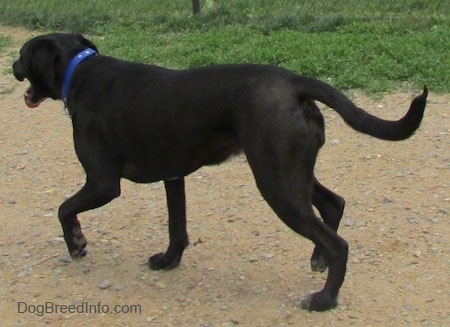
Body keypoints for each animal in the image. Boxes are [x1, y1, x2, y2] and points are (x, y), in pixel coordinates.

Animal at [11, 34, 428, 312]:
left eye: (22, 54)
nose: (12, 67)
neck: (80, 70)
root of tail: (295, 83)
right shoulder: (173, 176)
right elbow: (176, 228)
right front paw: (168, 261)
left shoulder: (102, 183)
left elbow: (64, 208)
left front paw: (76, 244)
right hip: (292, 172)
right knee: (334, 204)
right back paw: (318, 260)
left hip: (277, 182)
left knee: (338, 243)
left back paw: (325, 298)